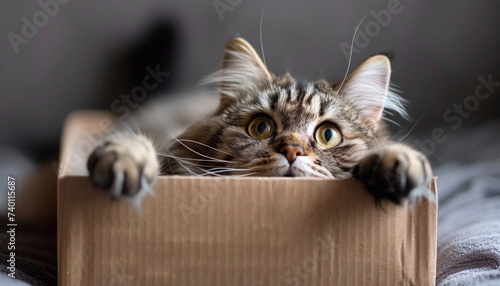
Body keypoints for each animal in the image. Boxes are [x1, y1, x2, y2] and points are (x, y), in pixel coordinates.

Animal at [89, 37, 434, 203]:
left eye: (328, 135)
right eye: (261, 128)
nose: (293, 151)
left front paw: (399, 165)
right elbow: (135, 145)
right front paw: (122, 162)